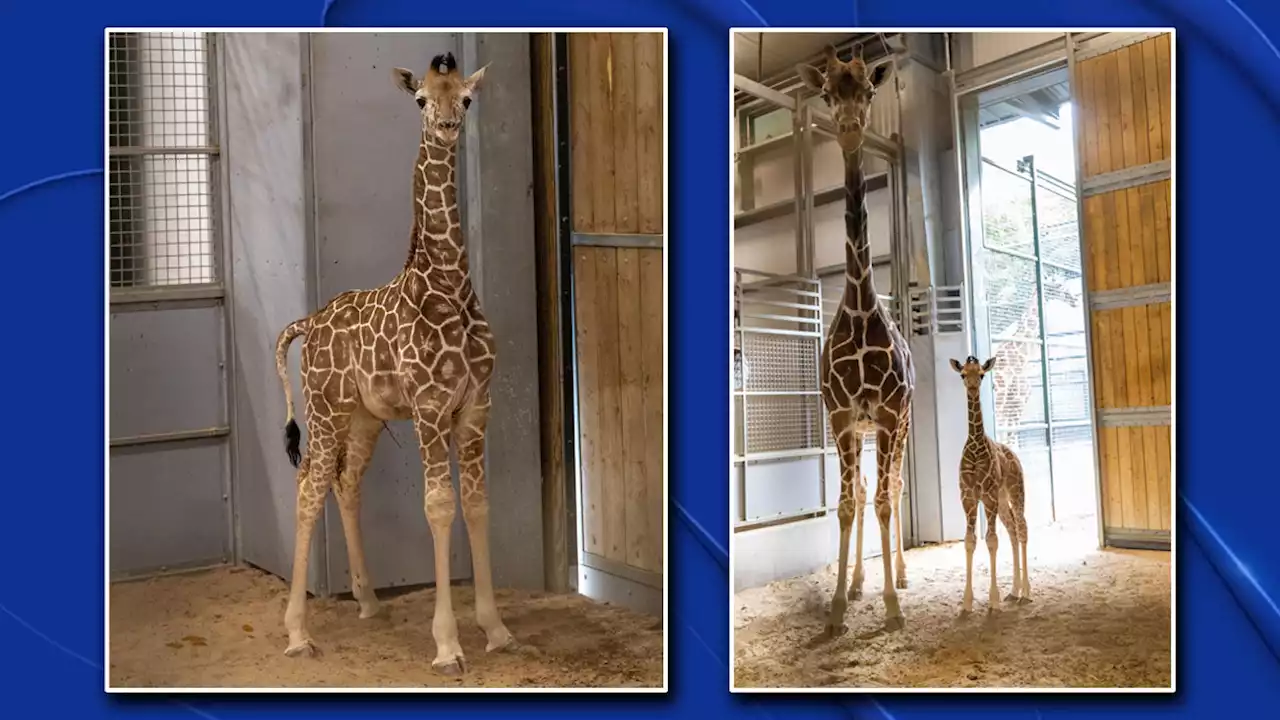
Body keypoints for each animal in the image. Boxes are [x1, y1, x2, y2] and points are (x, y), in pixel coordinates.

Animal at [952, 353, 1029, 609]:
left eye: (982, 374)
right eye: (962, 374)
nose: (972, 387)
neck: (976, 445)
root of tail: (1014, 456)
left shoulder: (987, 496)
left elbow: (992, 540)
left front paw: (993, 599)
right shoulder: (968, 497)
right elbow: (970, 541)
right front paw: (967, 602)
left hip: (1015, 492)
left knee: (1022, 528)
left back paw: (1026, 590)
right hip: (1003, 500)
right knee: (1013, 530)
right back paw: (1014, 590)